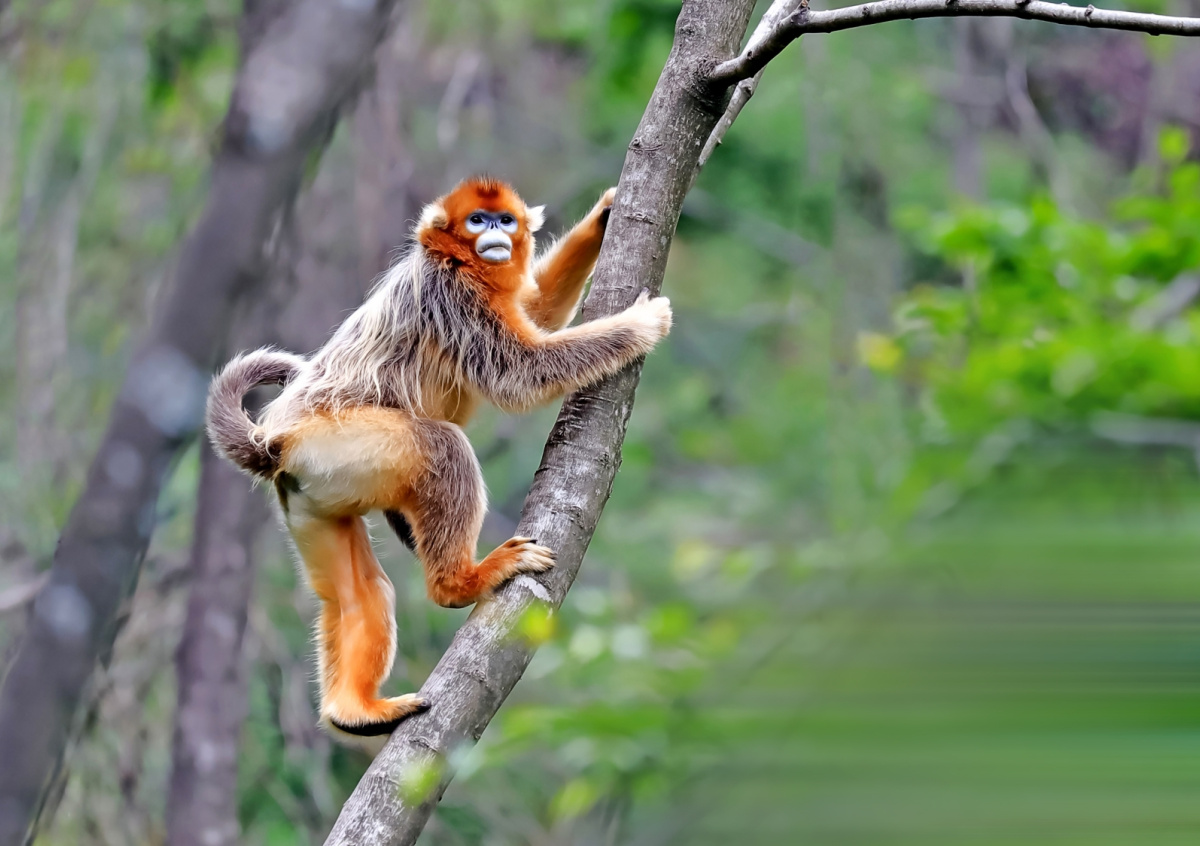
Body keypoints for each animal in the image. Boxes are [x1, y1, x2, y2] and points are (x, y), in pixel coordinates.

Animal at [206, 177, 672, 748]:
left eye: (504, 220)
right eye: (477, 220)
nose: (494, 234)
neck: (458, 261)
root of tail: (273, 441)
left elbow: (536, 311)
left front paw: (604, 216)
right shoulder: (452, 294)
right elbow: (522, 372)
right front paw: (640, 325)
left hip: (310, 499)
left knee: (359, 596)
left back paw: (353, 711)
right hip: (340, 444)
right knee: (443, 446)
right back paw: (460, 583)